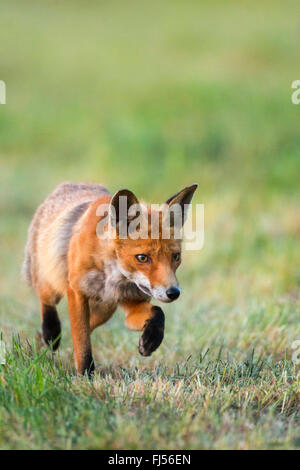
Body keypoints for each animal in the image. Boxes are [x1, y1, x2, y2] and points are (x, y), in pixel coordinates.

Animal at [22, 182, 197, 376]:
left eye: (176, 257)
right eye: (142, 258)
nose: (173, 292)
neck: (114, 276)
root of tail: (69, 184)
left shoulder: (132, 301)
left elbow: (158, 312)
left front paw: (151, 340)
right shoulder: (76, 291)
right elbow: (83, 344)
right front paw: (85, 376)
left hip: (105, 310)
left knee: (85, 328)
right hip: (52, 282)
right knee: (46, 300)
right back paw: (50, 333)